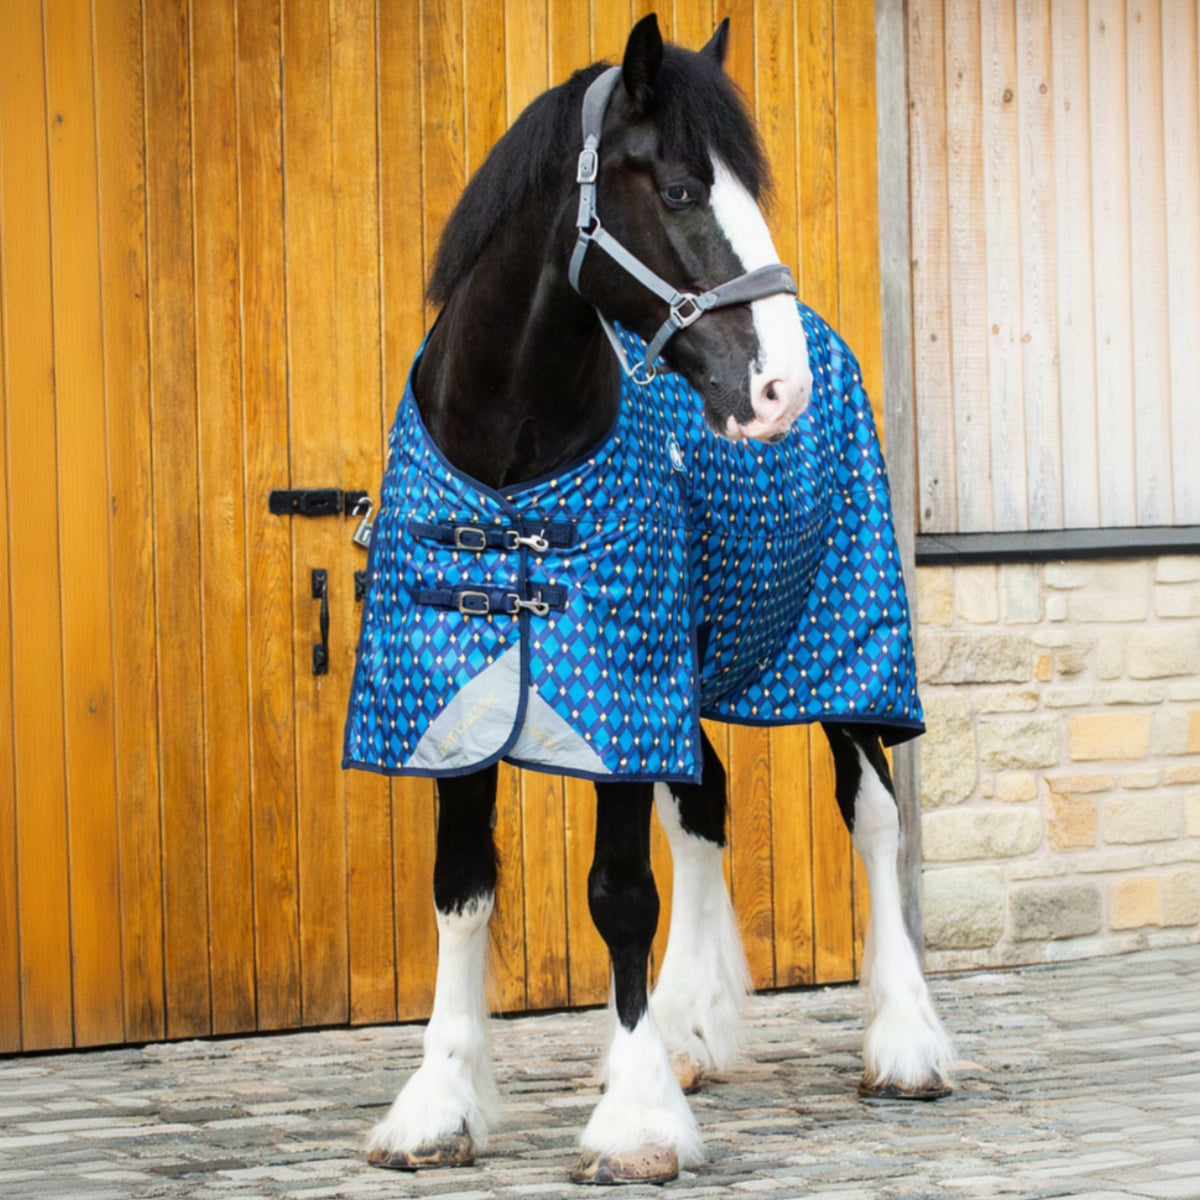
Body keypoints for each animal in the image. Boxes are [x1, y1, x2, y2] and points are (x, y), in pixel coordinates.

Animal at [344, 14, 953, 1186]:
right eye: (678, 190)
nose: (780, 389)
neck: (512, 462)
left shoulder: (620, 692)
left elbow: (619, 893)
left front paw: (634, 1123)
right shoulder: (456, 696)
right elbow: (460, 887)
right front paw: (440, 1105)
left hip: (845, 652)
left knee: (872, 813)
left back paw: (906, 1043)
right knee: (705, 807)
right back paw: (692, 1033)